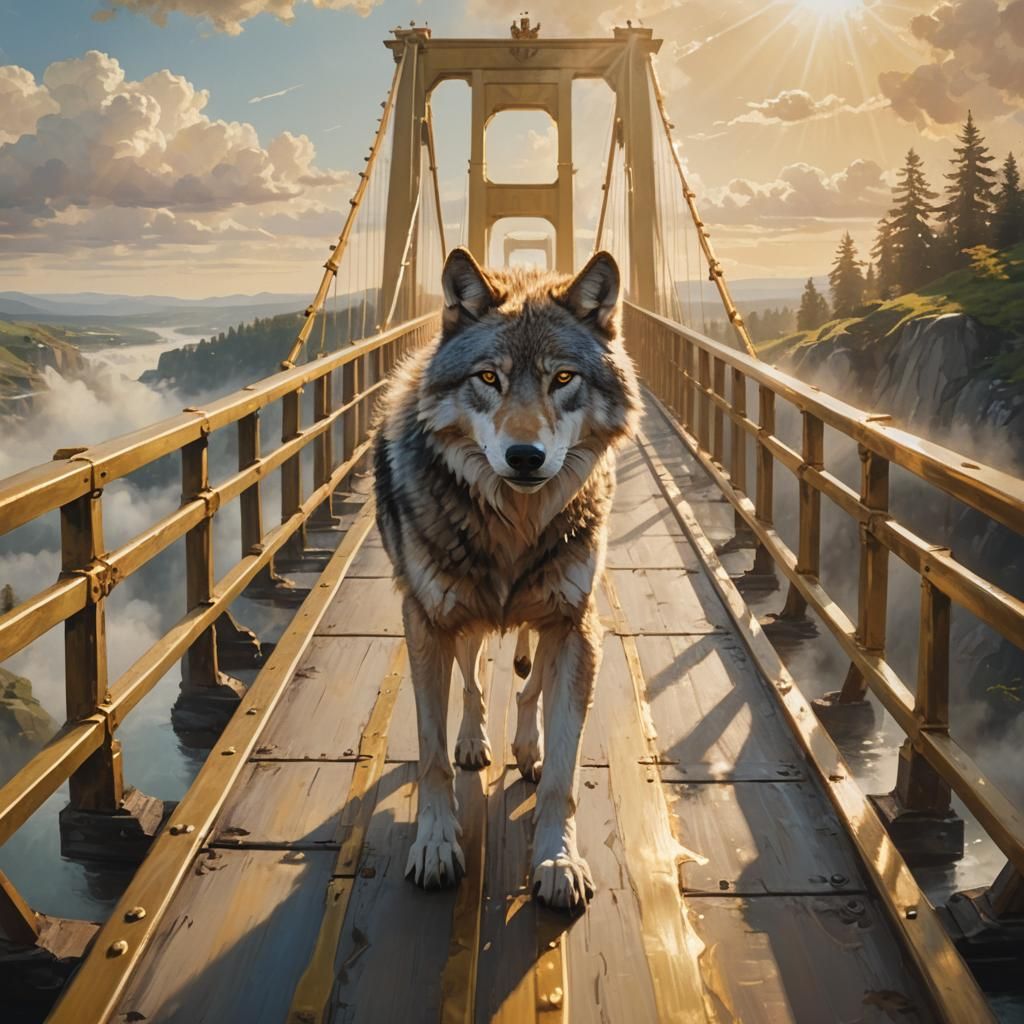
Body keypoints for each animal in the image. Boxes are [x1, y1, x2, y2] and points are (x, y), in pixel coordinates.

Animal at [373, 247, 641, 912]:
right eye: (488, 379)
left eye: (562, 379)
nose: (524, 457)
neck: (513, 527)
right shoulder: (427, 622)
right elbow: (432, 754)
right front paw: (435, 845)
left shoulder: (576, 626)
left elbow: (564, 775)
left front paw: (557, 860)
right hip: (460, 621)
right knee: (472, 683)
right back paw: (476, 743)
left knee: (526, 684)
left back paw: (527, 747)